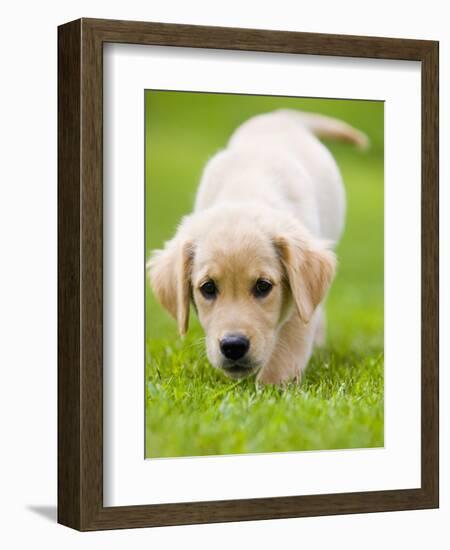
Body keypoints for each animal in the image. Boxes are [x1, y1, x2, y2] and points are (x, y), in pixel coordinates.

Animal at [149, 110, 368, 386]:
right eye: (208, 288)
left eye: (263, 286)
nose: (233, 346)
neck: (246, 191)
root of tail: (279, 116)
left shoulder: (300, 297)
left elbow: (288, 347)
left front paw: (271, 389)